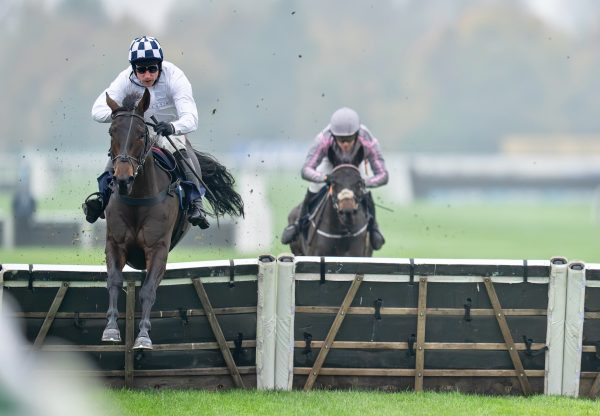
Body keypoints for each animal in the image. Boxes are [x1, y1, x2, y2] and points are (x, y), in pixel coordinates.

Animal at [101, 89, 244, 350]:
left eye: (141, 133)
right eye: (111, 132)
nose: (123, 179)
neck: (137, 197)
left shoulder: (158, 248)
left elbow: (148, 290)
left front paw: (143, 337)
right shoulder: (115, 243)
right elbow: (114, 281)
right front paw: (111, 329)